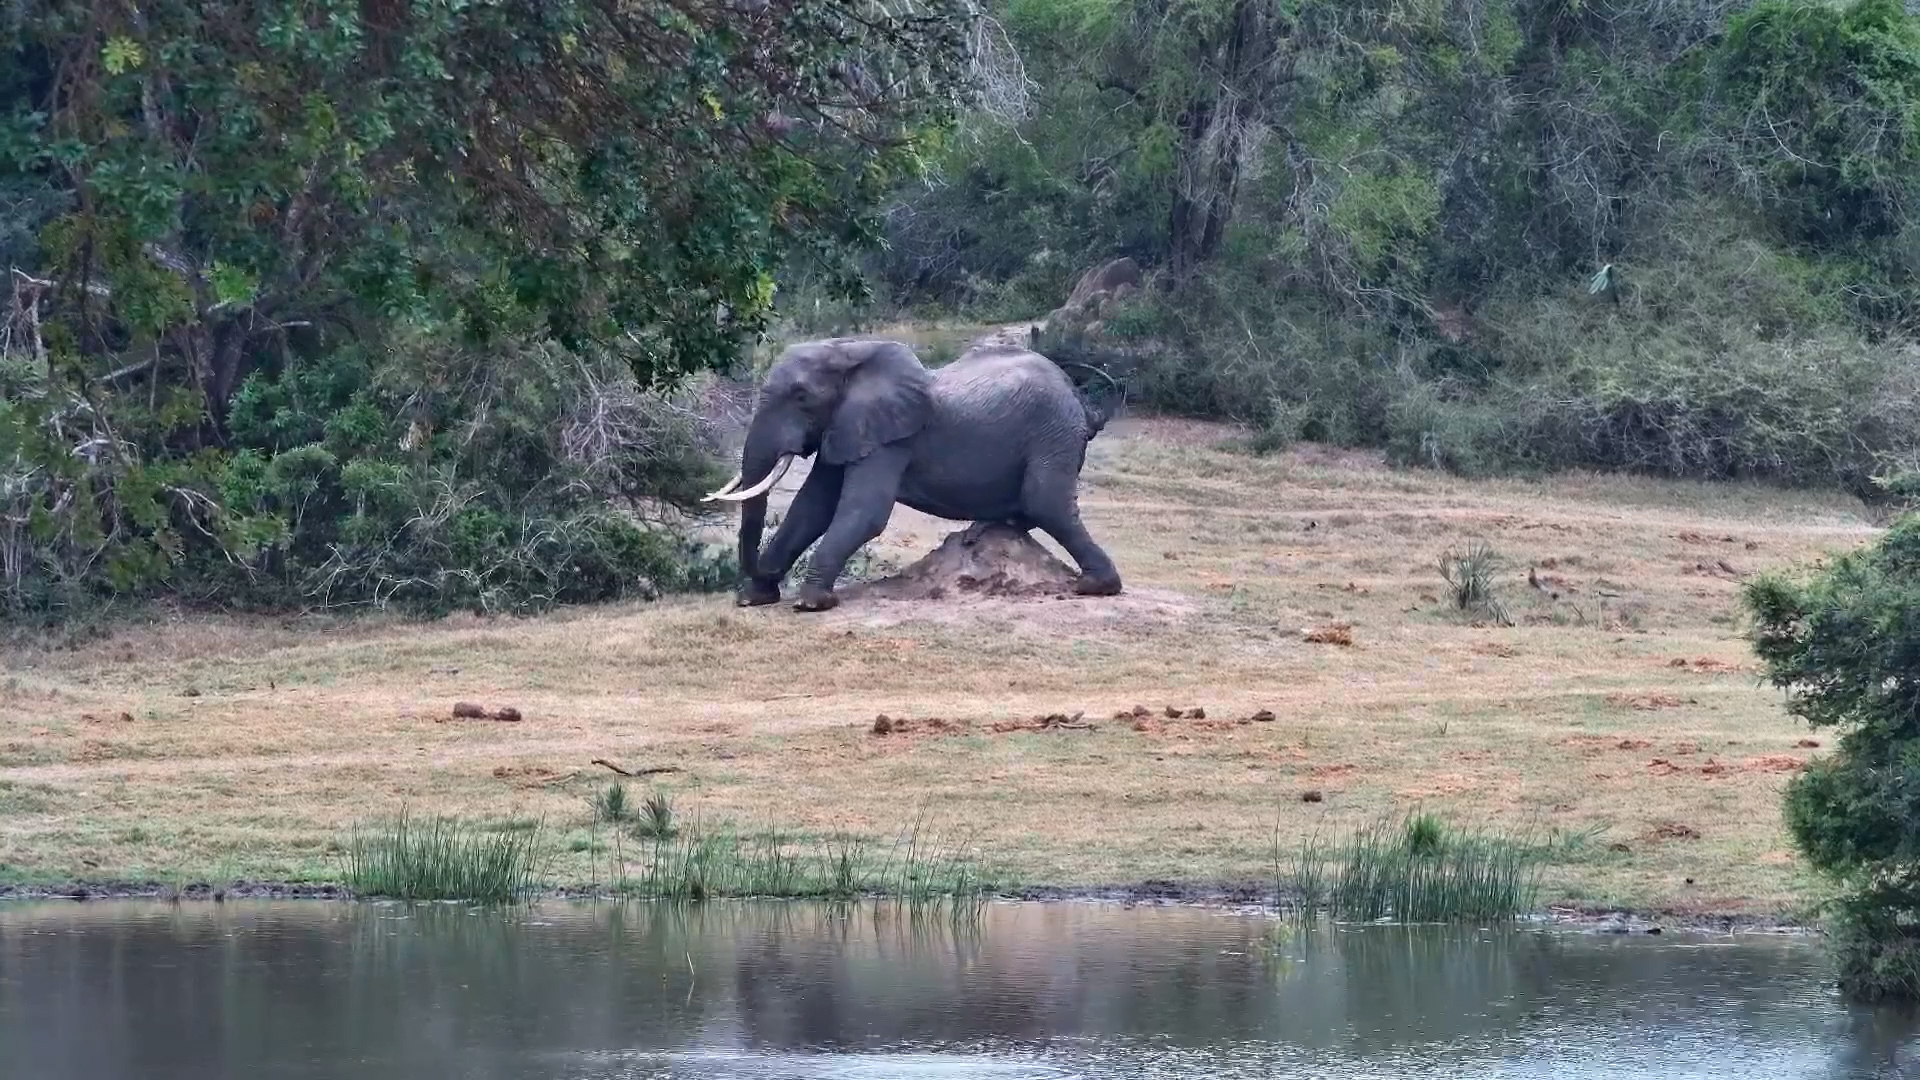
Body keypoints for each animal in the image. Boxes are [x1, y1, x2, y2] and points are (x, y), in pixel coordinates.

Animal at [704, 337, 1123, 611]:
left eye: (801, 397)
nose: (763, 574)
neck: (850, 351)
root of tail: (1079, 399)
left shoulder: (888, 438)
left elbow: (864, 512)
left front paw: (812, 603)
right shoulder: (846, 429)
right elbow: (812, 508)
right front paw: (754, 599)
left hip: (1052, 431)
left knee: (1045, 502)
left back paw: (1095, 586)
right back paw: (982, 532)